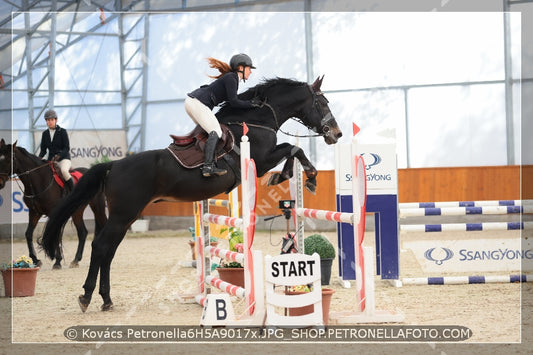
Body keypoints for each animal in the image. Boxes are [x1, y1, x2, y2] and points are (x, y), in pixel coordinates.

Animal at [0, 140, 107, 268]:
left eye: (8, 159)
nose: (0, 182)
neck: (38, 181)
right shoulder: (34, 213)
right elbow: (28, 234)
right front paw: (36, 259)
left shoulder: (53, 212)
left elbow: (54, 235)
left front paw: (57, 261)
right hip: (77, 211)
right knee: (82, 232)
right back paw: (76, 260)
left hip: (98, 206)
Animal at [40, 75, 340, 312]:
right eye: (323, 103)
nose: (336, 134)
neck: (257, 120)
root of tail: (113, 165)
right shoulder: (262, 159)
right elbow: (294, 149)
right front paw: (306, 177)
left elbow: (292, 149)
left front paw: (298, 177)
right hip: (123, 215)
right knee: (101, 247)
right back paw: (87, 297)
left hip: (124, 218)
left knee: (108, 251)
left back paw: (106, 299)